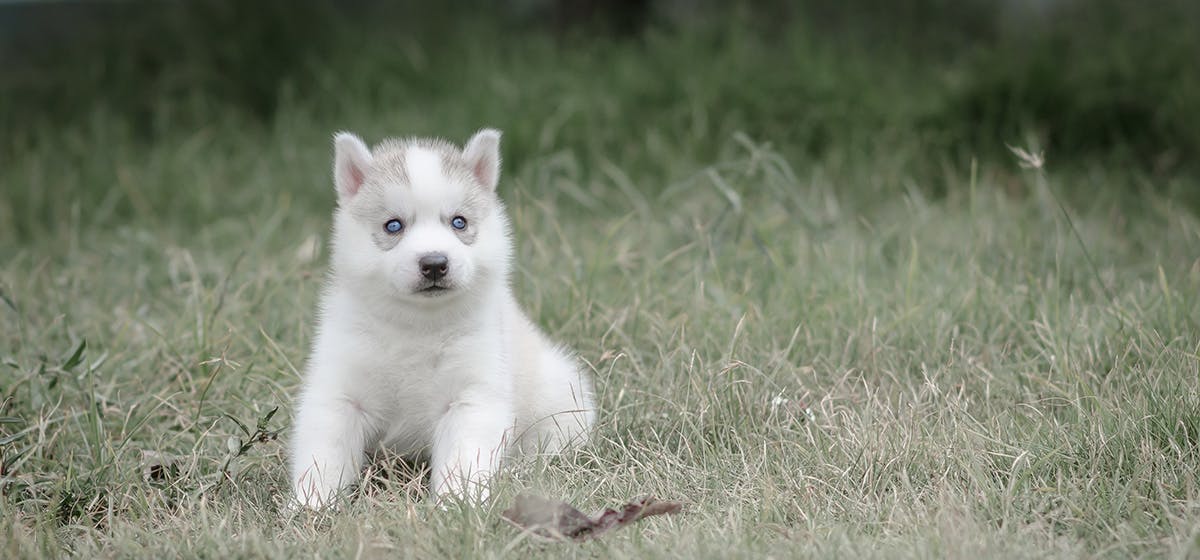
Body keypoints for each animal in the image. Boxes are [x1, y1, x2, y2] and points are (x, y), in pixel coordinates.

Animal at [286, 130, 595, 508]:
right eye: (393, 225)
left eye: (458, 222)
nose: (434, 263)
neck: (416, 326)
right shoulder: (340, 391)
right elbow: (324, 453)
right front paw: (310, 505)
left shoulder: (471, 396)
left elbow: (464, 457)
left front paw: (456, 504)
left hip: (561, 395)